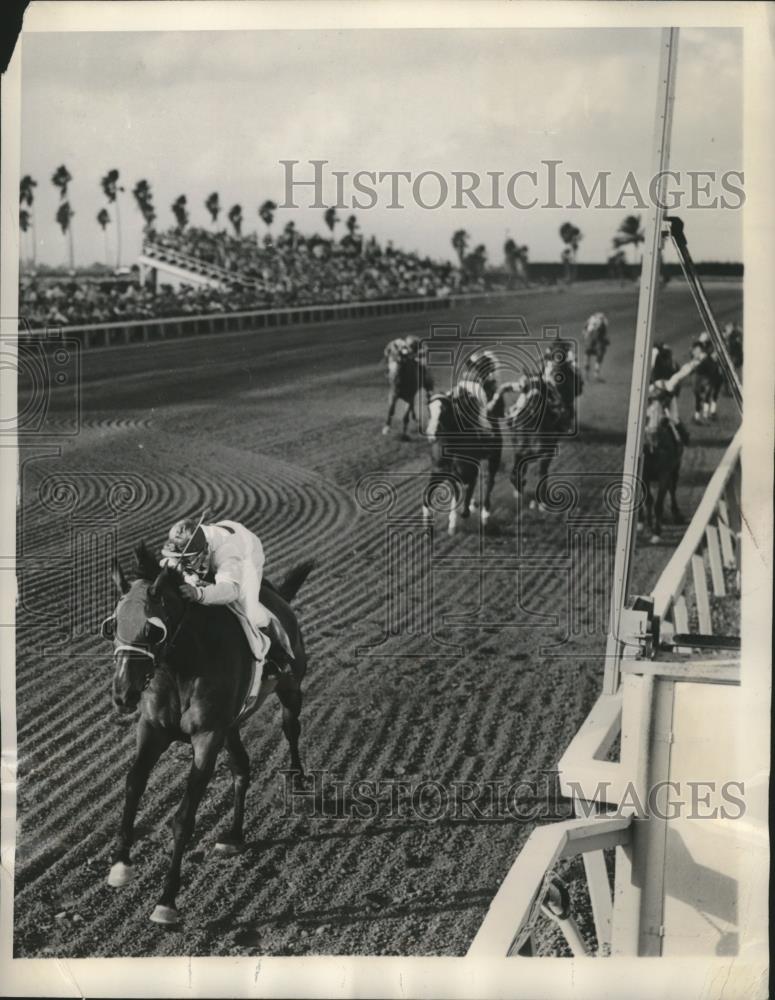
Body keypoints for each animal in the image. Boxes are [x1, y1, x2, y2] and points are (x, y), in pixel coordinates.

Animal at [104, 544, 314, 924]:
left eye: (153, 631)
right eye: (112, 625)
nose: (123, 694)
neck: (181, 668)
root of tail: (277, 594)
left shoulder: (206, 736)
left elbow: (184, 818)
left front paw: (167, 900)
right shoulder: (153, 728)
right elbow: (133, 784)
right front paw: (120, 865)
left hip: (290, 688)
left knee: (291, 728)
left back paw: (299, 783)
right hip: (231, 725)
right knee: (242, 768)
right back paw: (233, 835)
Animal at [424, 384, 504, 540]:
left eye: (444, 410)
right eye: (429, 409)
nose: (431, 434)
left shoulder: (470, 470)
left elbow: (465, 497)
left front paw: (463, 514)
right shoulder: (439, 471)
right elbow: (429, 497)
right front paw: (430, 529)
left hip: (494, 457)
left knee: (489, 482)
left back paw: (485, 516)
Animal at [510, 376, 568, 516]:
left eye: (545, 389)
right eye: (525, 388)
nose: (534, 397)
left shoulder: (547, 452)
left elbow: (542, 471)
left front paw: (542, 502)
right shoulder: (520, 450)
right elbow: (517, 468)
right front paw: (518, 486)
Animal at [644, 394, 684, 544]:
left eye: (664, 420)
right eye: (646, 417)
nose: (653, 443)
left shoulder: (664, 474)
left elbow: (658, 504)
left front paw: (656, 533)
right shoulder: (644, 474)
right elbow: (648, 499)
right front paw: (646, 524)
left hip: (675, 470)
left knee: (672, 490)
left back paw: (676, 514)